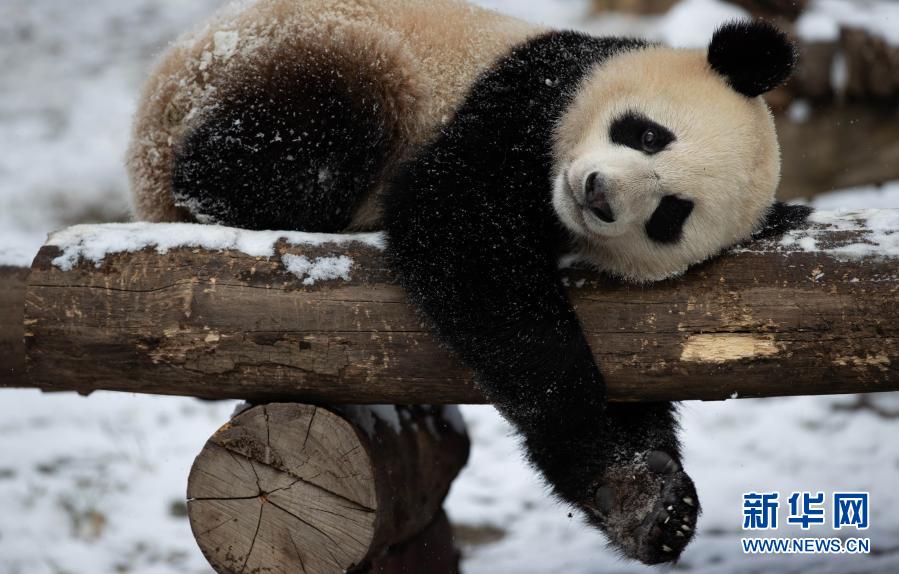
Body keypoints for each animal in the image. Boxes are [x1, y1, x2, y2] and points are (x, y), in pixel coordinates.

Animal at [128, 0, 809, 564]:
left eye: (671, 214)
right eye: (647, 134)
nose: (598, 194)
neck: (555, 209)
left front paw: (654, 507)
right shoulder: (524, 99)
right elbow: (461, 239)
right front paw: (620, 475)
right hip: (301, 59)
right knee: (297, 141)